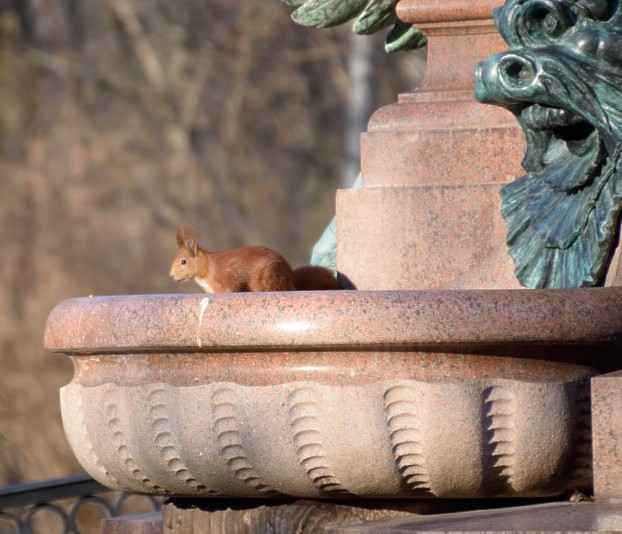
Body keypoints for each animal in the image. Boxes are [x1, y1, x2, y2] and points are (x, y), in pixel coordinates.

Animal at [171, 225, 342, 294]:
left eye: (183, 261)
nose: (171, 276)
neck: (206, 266)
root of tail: (291, 279)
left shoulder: (225, 283)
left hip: (264, 278)